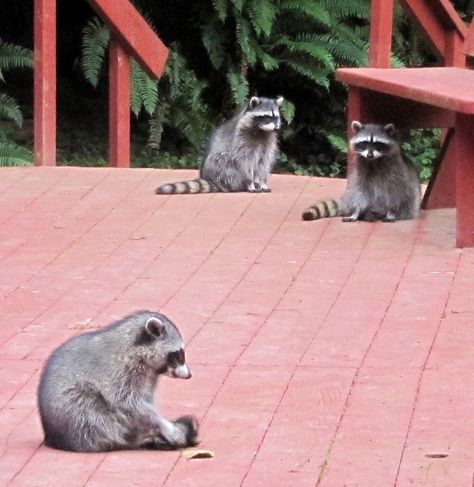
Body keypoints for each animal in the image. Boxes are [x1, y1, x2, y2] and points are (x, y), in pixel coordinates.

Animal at [37, 310, 198, 456]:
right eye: (179, 354)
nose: (189, 375)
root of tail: (52, 437)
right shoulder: (119, 372)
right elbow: (127, 403)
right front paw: (161, 423)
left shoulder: (147, 377)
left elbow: (144, 401)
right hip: (74, 412)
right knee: (91, 410)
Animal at [156, 95, 284, 194]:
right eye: (266, 117)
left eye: (276, 117)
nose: (277, 128)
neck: (261, 130)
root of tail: (211, 179)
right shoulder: (242, 141)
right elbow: (245, 162)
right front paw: (250, 183)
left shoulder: (267, 143)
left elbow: (264, 162)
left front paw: (262, 182)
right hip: (222, 169)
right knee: (227, 162)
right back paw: (242, 184)